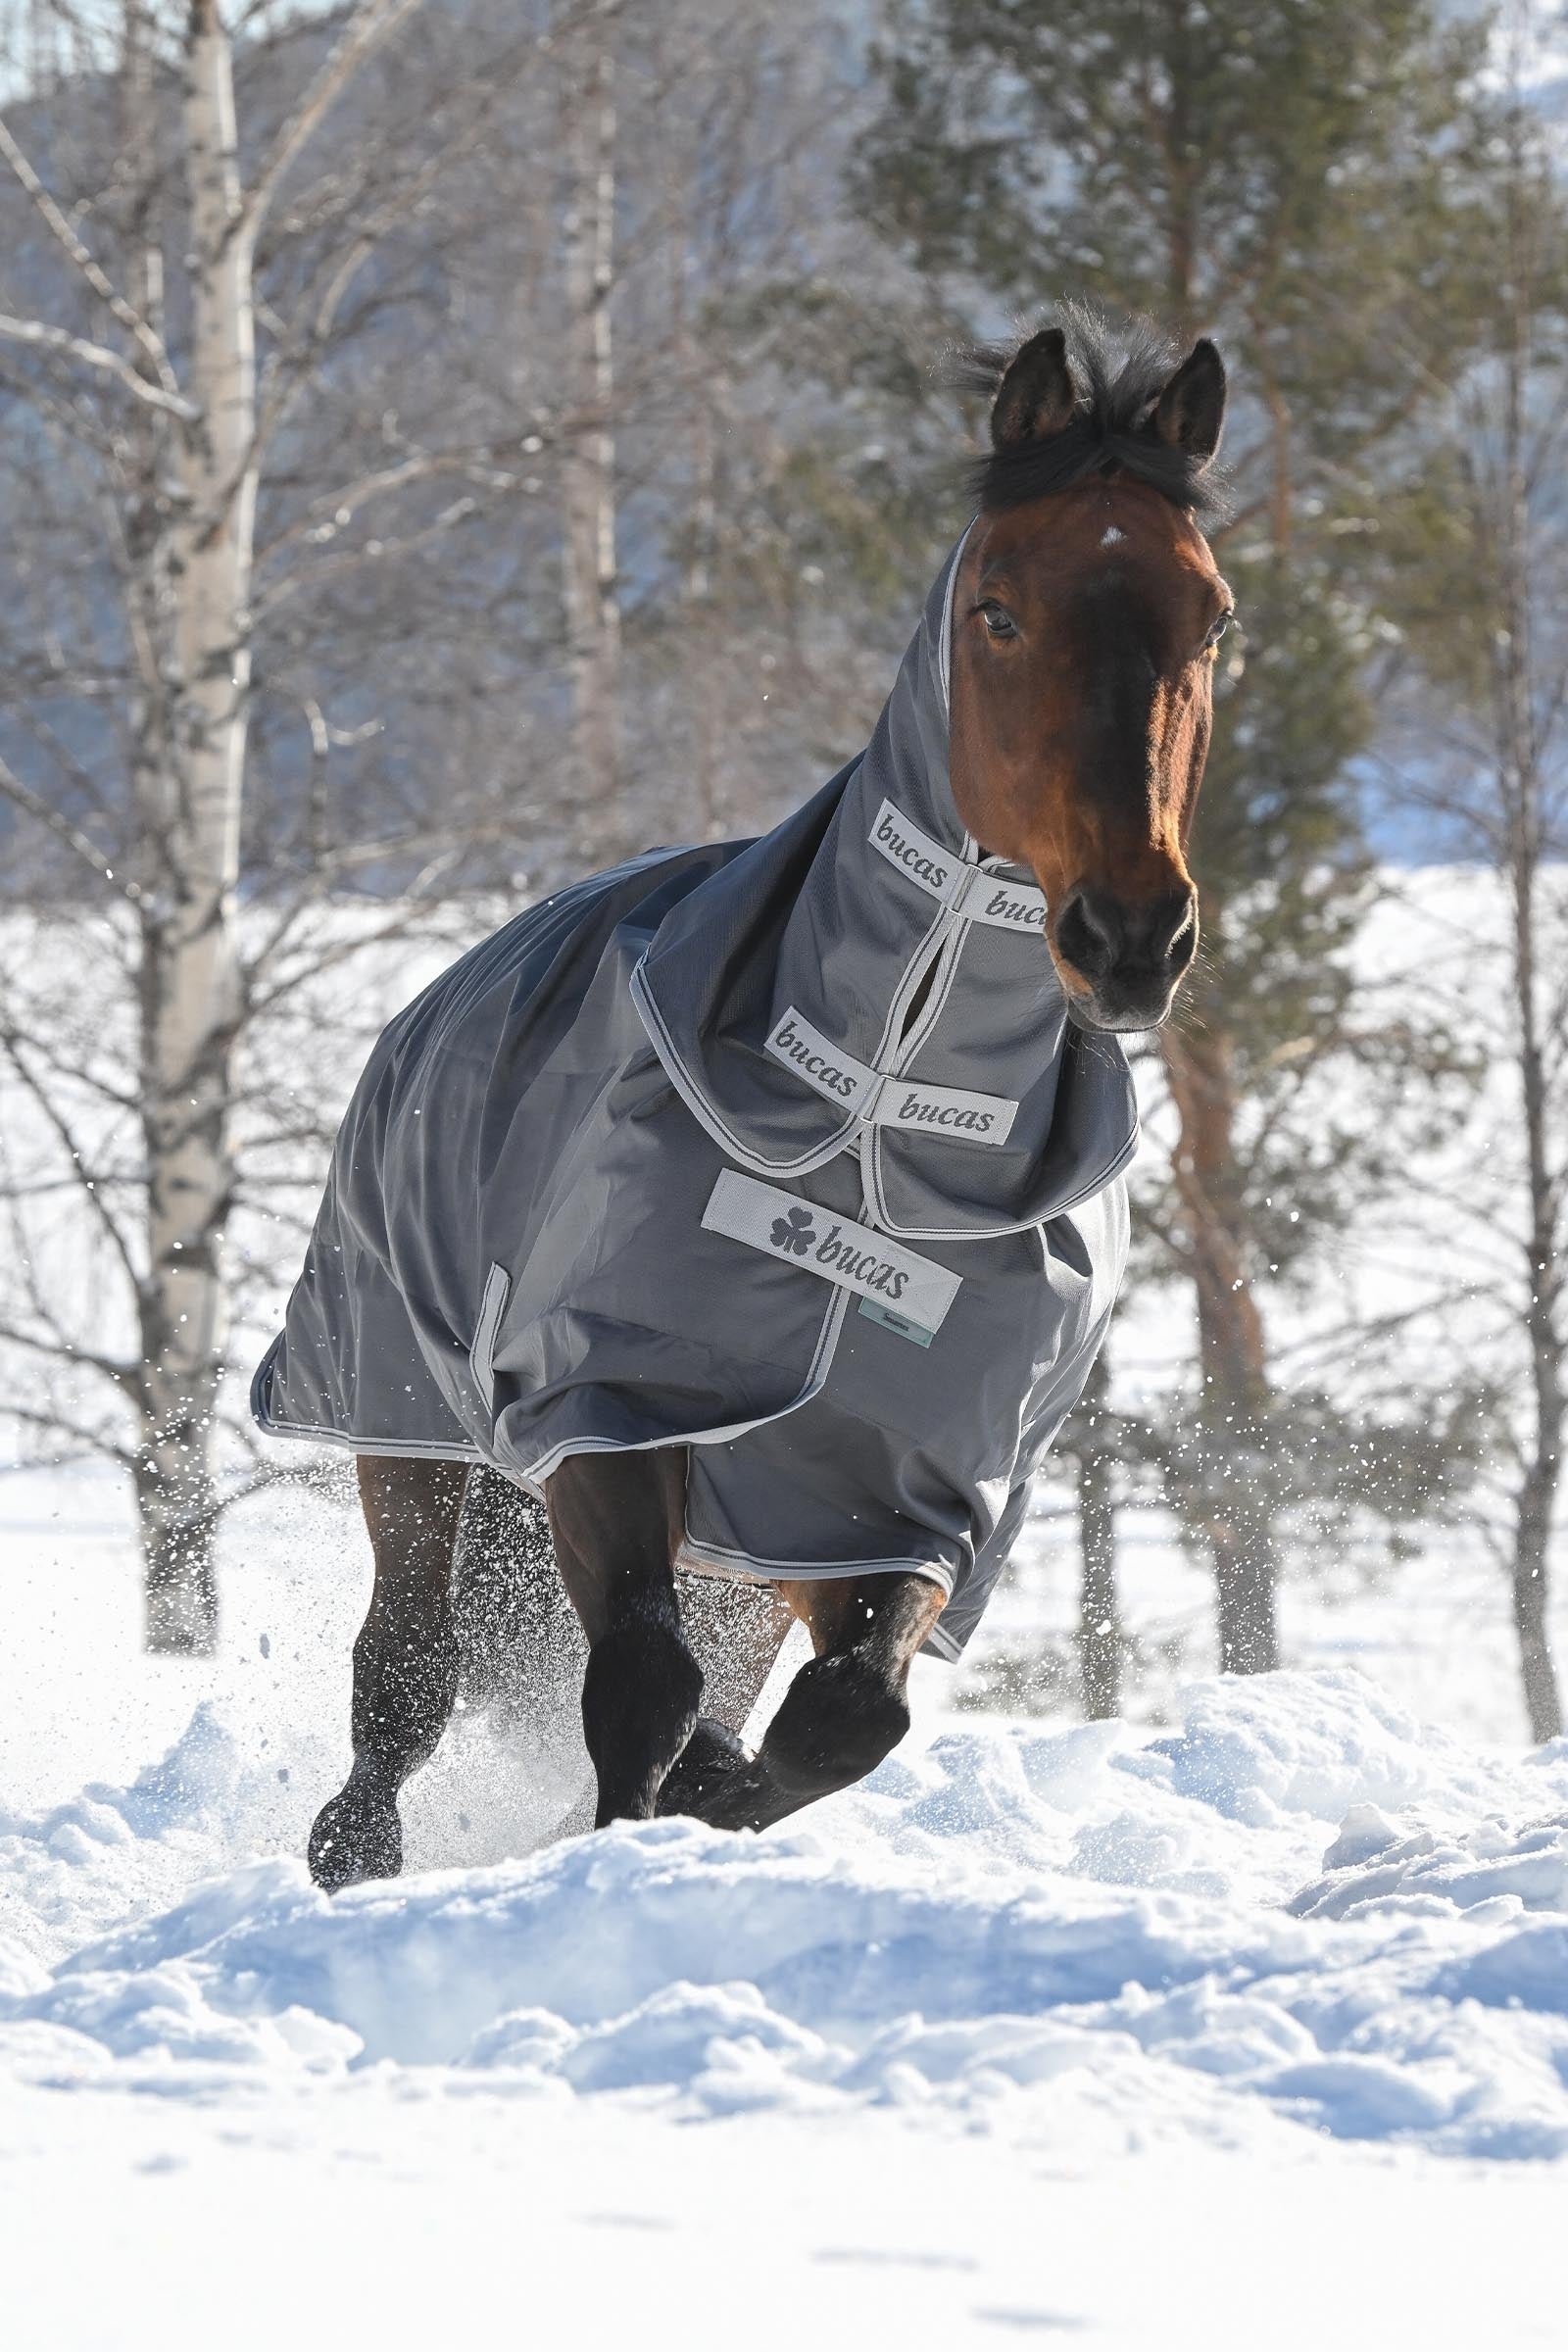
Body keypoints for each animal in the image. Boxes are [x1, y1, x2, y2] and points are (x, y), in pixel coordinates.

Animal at [260, 310, 1231, 1889]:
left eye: (1209, 621)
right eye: (999, 612)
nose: (1131, 935)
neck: (876, 1116)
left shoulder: (907, 1499)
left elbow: (841, 1721)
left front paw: (709, 1800)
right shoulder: (603, 1412)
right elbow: (641, 1690)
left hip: (751, 1546)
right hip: (402, 1421)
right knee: (405, 1681)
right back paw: (359, 1854)